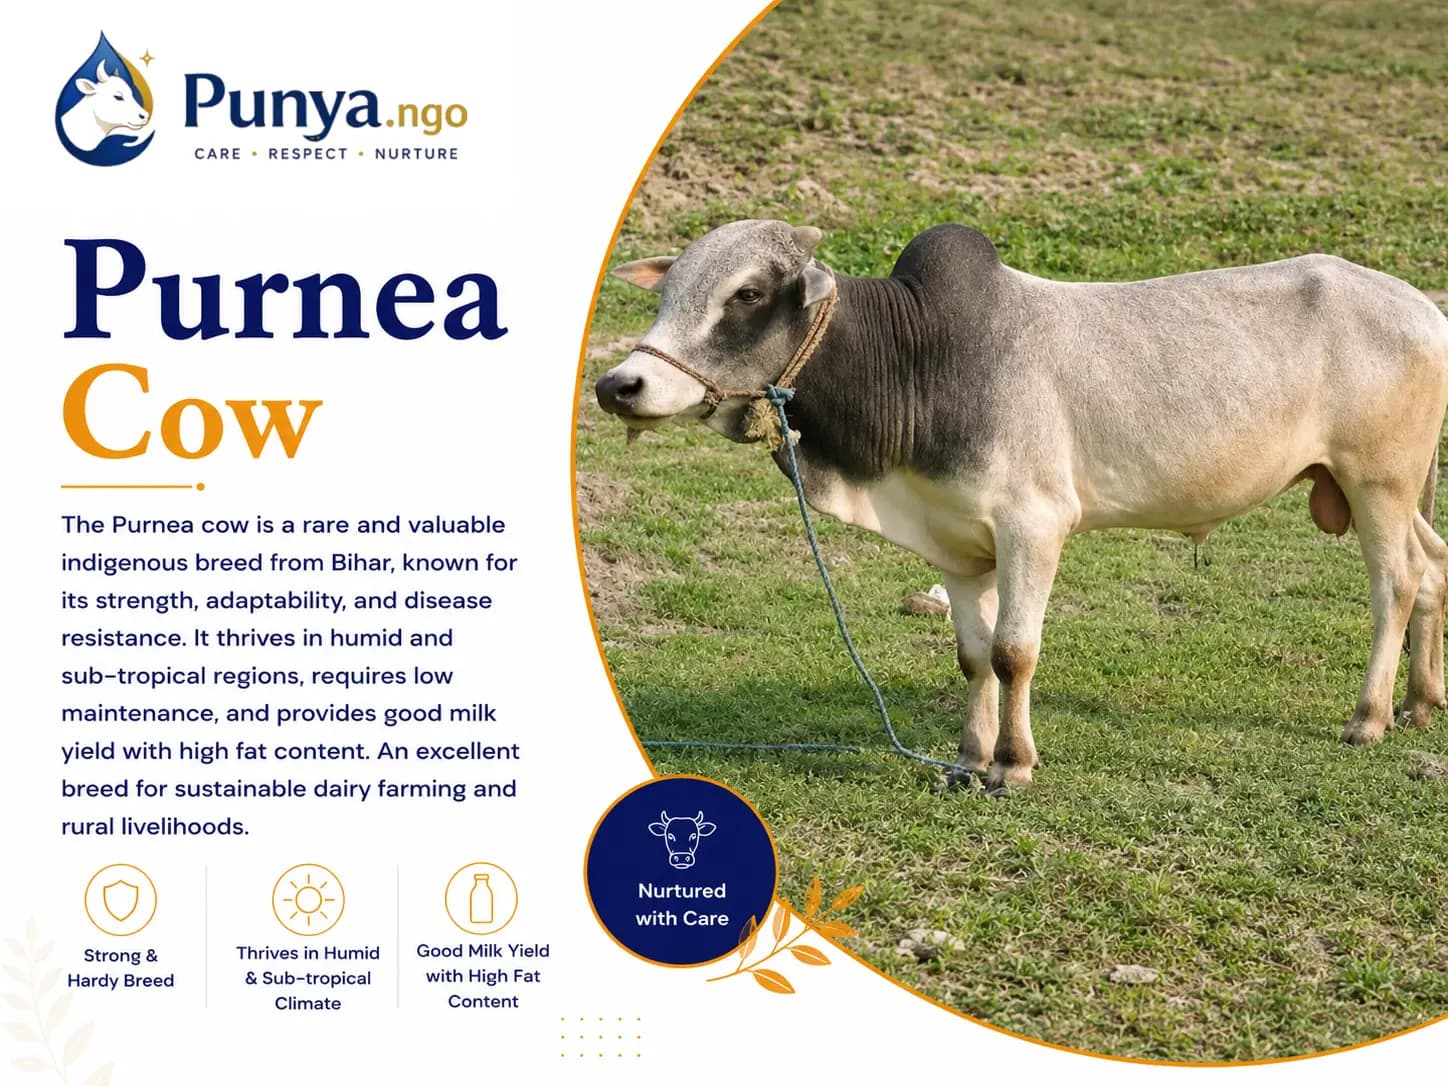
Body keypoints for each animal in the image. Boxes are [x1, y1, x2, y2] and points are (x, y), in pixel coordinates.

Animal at [596, 219, 1448, 793]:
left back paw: (1369, 716)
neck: (920, 358)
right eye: (668, 293)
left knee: (1396, 583)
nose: (618, 386)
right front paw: (968, 758)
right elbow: (973, 655)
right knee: (1434, 569)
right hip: (1388, 489)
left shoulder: (1034, 526)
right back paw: (1419, 704)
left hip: (1377, 482)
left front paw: (1012, 764)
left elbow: (1013, 652)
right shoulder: (954, 541)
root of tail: (1422, 308)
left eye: (746, 294)